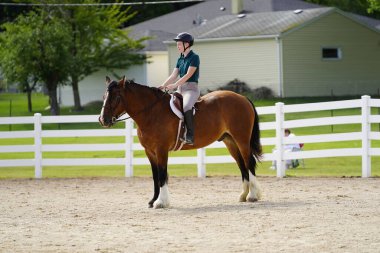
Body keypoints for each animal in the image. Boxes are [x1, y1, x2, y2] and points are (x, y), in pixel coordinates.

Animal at [99, 76, 262, 209]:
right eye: (104, 96)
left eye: (116, 97)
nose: (102, 120)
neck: (151, 112)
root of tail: (242, 97)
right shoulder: (150, 152)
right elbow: (155, 176)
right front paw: (153, 201)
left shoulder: (161, 150)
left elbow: (162, 175)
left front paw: (161, 202)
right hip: (230, 142)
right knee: (242, 165)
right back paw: (243, 195)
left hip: (242, 140)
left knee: (248, 162)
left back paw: (253, 196)